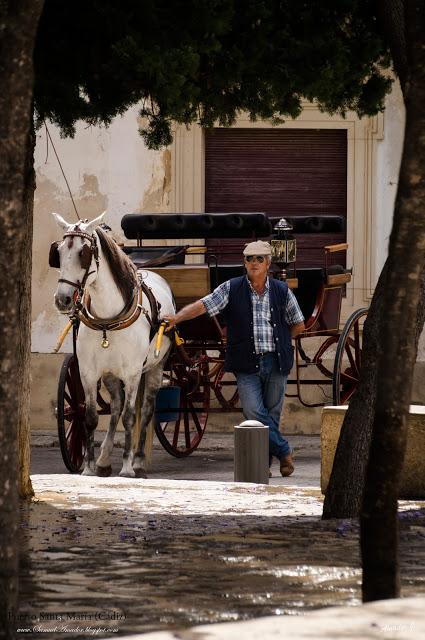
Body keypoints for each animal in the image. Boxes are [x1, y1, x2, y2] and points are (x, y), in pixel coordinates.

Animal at [51, 212, 174, 478]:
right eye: (59, 252)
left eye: (84, 252)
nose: (62, 299)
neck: (108, 320)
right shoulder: (87, 373)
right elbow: (90, 417)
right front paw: (88, 467)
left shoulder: (133, 373)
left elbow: (130, 417)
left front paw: (127, 467)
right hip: (109, 375)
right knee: (115, 407)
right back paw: (104, 459)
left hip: (155, 368)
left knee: (145, 410)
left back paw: (138, 461)